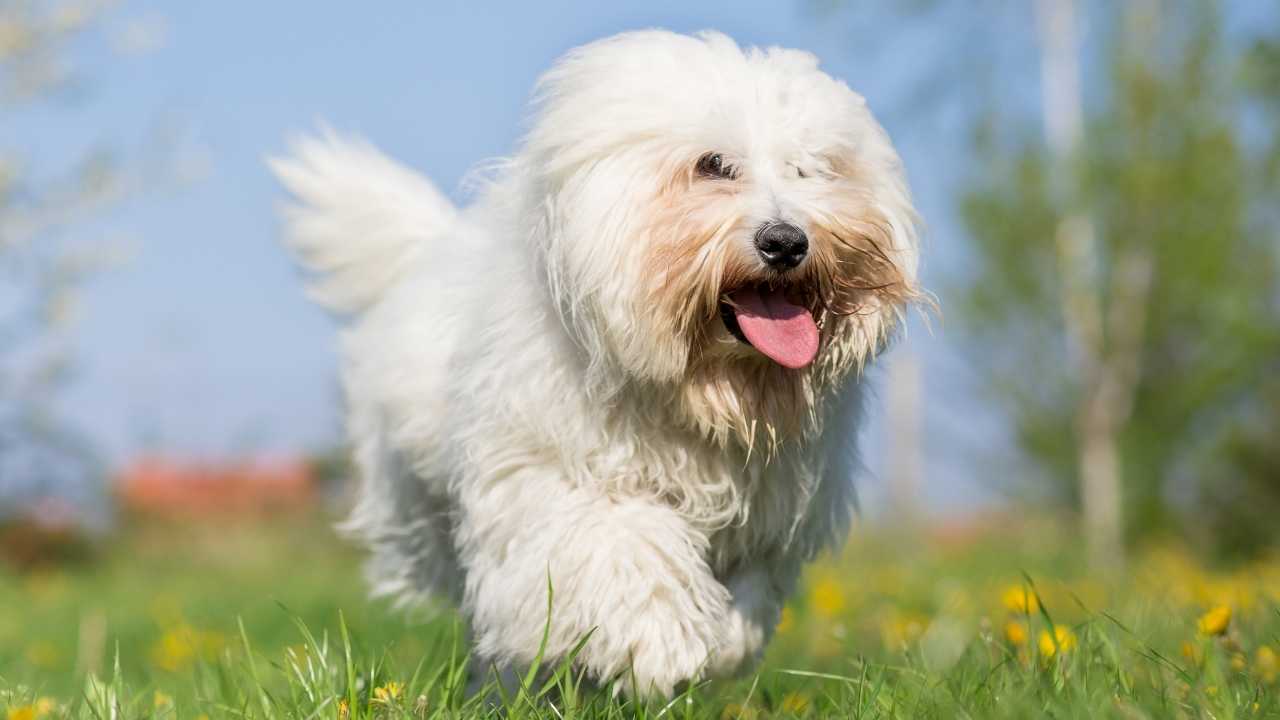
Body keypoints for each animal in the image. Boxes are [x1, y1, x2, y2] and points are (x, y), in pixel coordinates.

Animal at [275, 29, 921, 696]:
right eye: (712, 164)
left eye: (810, 168)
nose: (787, 241)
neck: (702, 387)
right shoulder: (553, 477)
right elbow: (619, 545)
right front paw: (659, 643)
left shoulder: (770, 518)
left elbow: (749, 594)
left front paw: (721, 644)